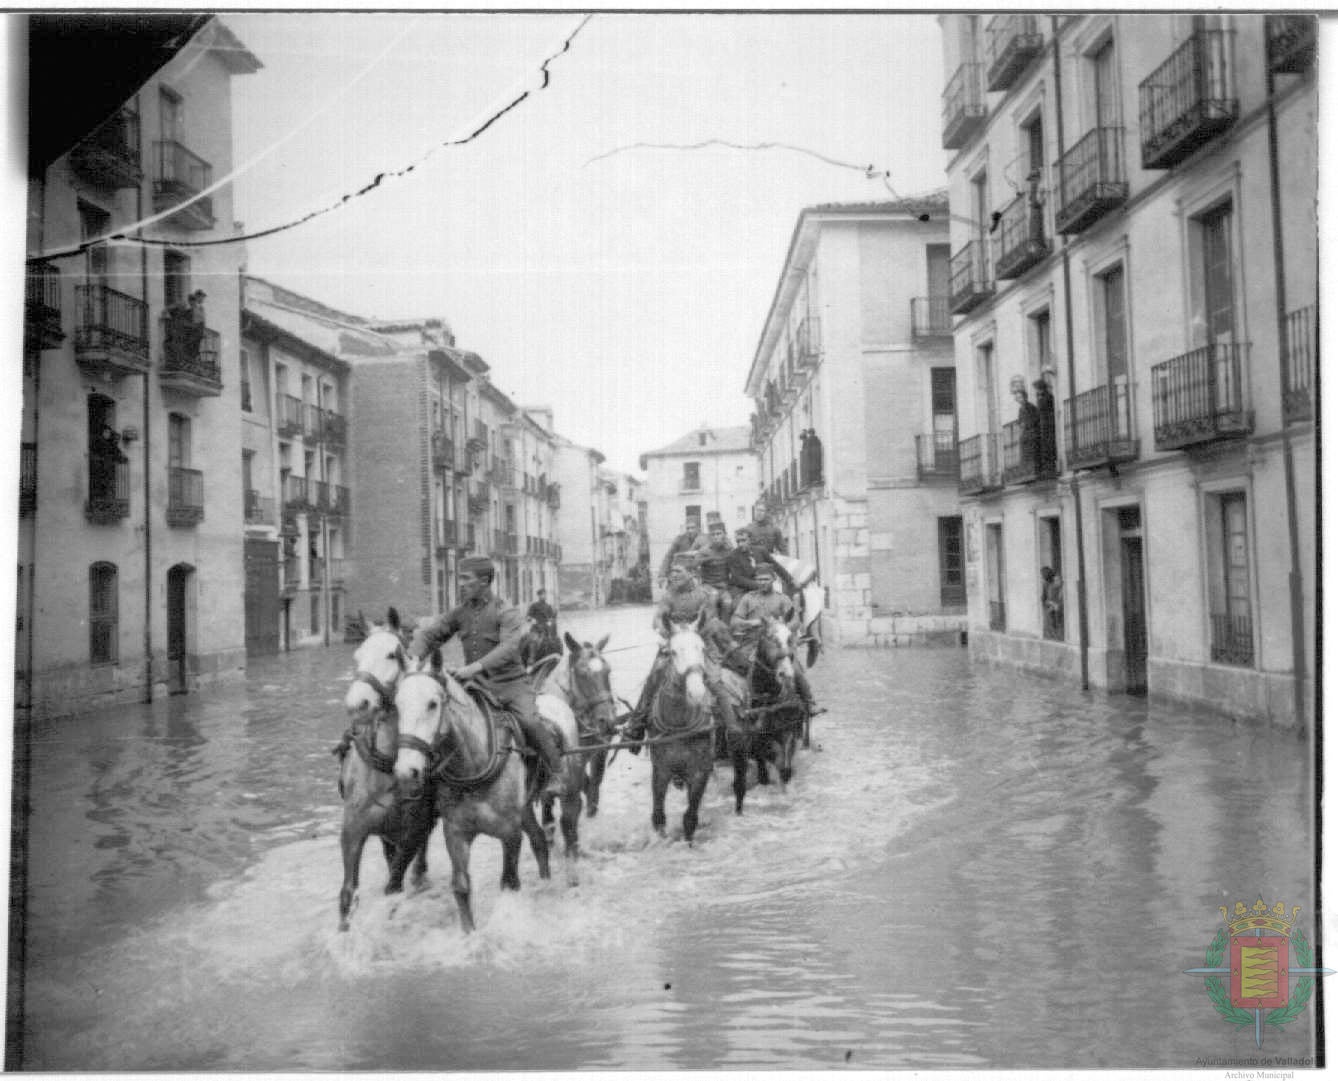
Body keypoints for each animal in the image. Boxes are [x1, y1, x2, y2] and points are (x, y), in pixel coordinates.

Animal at [334, 612, 433, 931]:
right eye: (357, 655)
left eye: (392, 654)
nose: (357, 703)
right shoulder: (353, 830)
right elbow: (347, 893)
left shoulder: (413, 830)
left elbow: (395, 885)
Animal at [388, 644, 575, 931]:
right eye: (398, 705)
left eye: (433, 704)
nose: (406, 771)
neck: (474, 763)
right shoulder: (456, 833)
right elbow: (461, 888)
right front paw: (469, 933)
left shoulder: (510, 833)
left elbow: (509, 884)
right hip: (524, 810)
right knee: (539, 841)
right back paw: (545, 883)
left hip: (567, 789)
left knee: (569, 825)